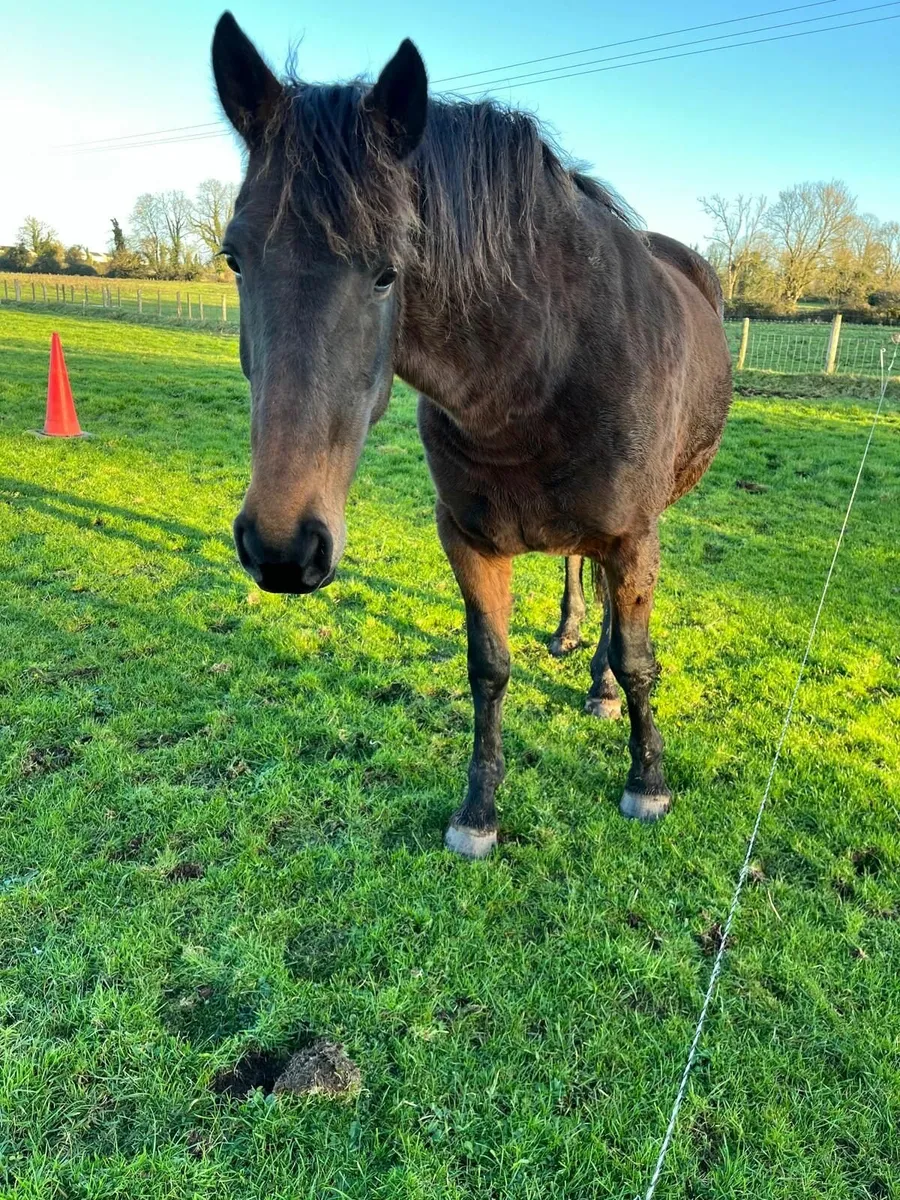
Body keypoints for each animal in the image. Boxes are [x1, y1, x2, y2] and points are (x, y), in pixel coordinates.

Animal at [211, 13, 733, 858]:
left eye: (388, 271)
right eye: (233, 257)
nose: (282, 548)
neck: (545, 366)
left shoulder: (633, 536)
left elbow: (638, 659)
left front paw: (647, 782)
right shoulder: (467, 536)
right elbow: (488, 667)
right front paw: (478, 812)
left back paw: (596, 683)